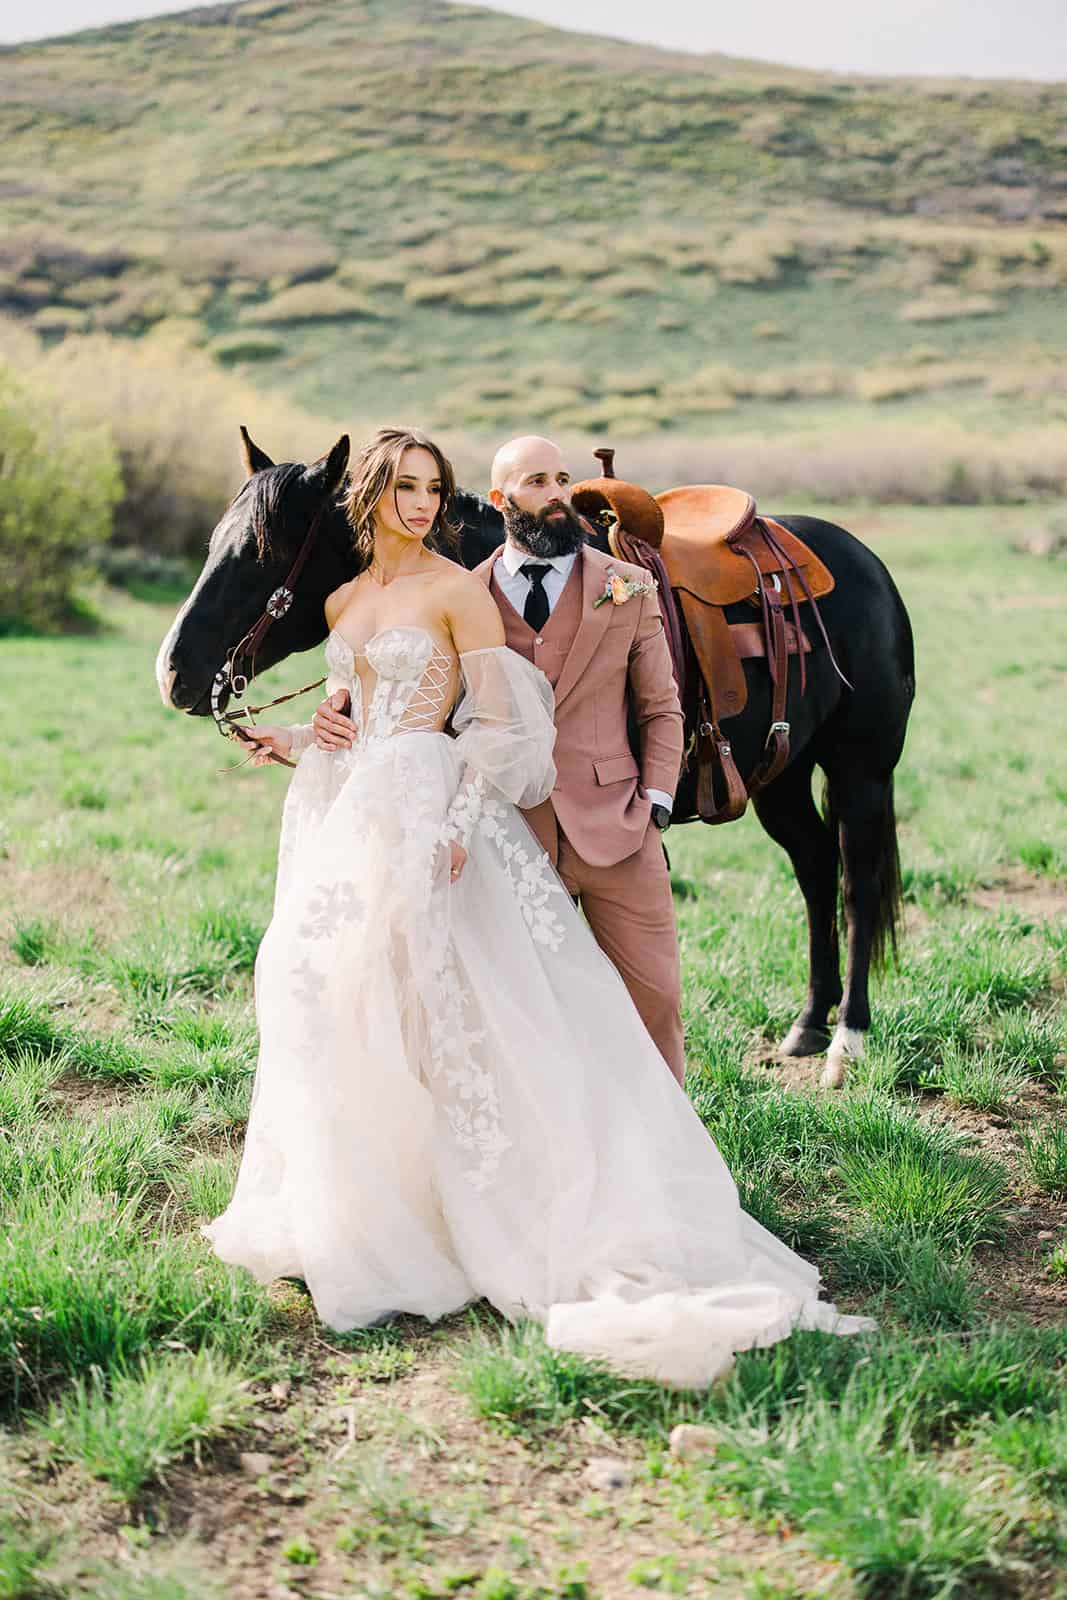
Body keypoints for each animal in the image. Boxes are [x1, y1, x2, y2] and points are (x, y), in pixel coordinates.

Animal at [160, 428, 921, 1088]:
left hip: (859, 771)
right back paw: (809, 1023)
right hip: (780, 777)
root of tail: (865, 563)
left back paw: (846, 1039)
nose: (173, 671)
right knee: (815, 870)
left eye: (257, 553)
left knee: (855, 882)